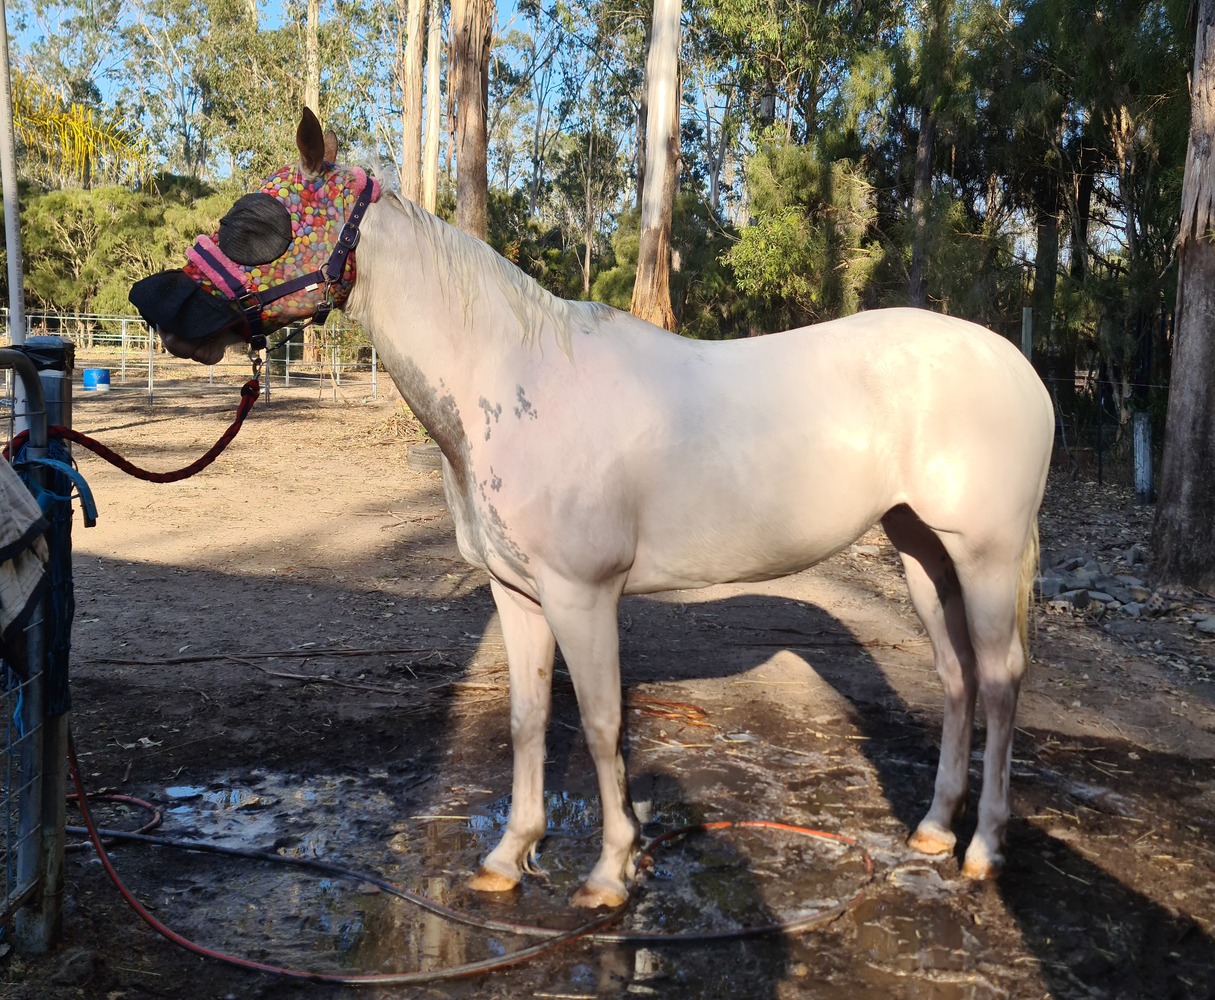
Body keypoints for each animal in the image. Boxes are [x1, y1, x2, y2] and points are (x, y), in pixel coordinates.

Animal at [130, 109, 1054, 909]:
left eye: (259, 219)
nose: (151, 301)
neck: (515, 380)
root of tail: (1019, 368)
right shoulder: (518, 594)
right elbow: (529, 719)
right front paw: (509, 855)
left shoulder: (584, 594)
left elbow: (605, 724)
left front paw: (611, 871)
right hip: (919, 550)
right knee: (955, 677)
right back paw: (932, 830)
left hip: (982, 554)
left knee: (1000, 680)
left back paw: (981, 850)